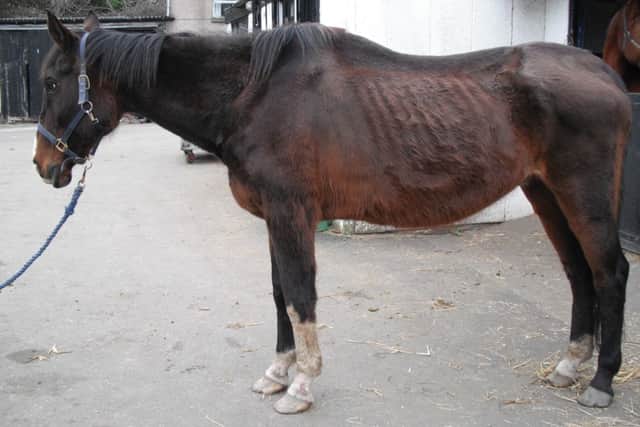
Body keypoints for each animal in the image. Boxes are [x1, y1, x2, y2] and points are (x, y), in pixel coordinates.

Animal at [33, 12, 630, 413]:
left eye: (50, 81)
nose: (44, 164)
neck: (253, 94)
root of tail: (605, 75)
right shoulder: (274, 217)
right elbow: (279, 294)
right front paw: (278, 371)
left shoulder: (291, 211)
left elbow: (300, 295)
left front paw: (300, 385)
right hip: (545, 192)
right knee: (579, 273)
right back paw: (570, 365)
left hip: (583, 193)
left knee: (610, 272)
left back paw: (601, 383)